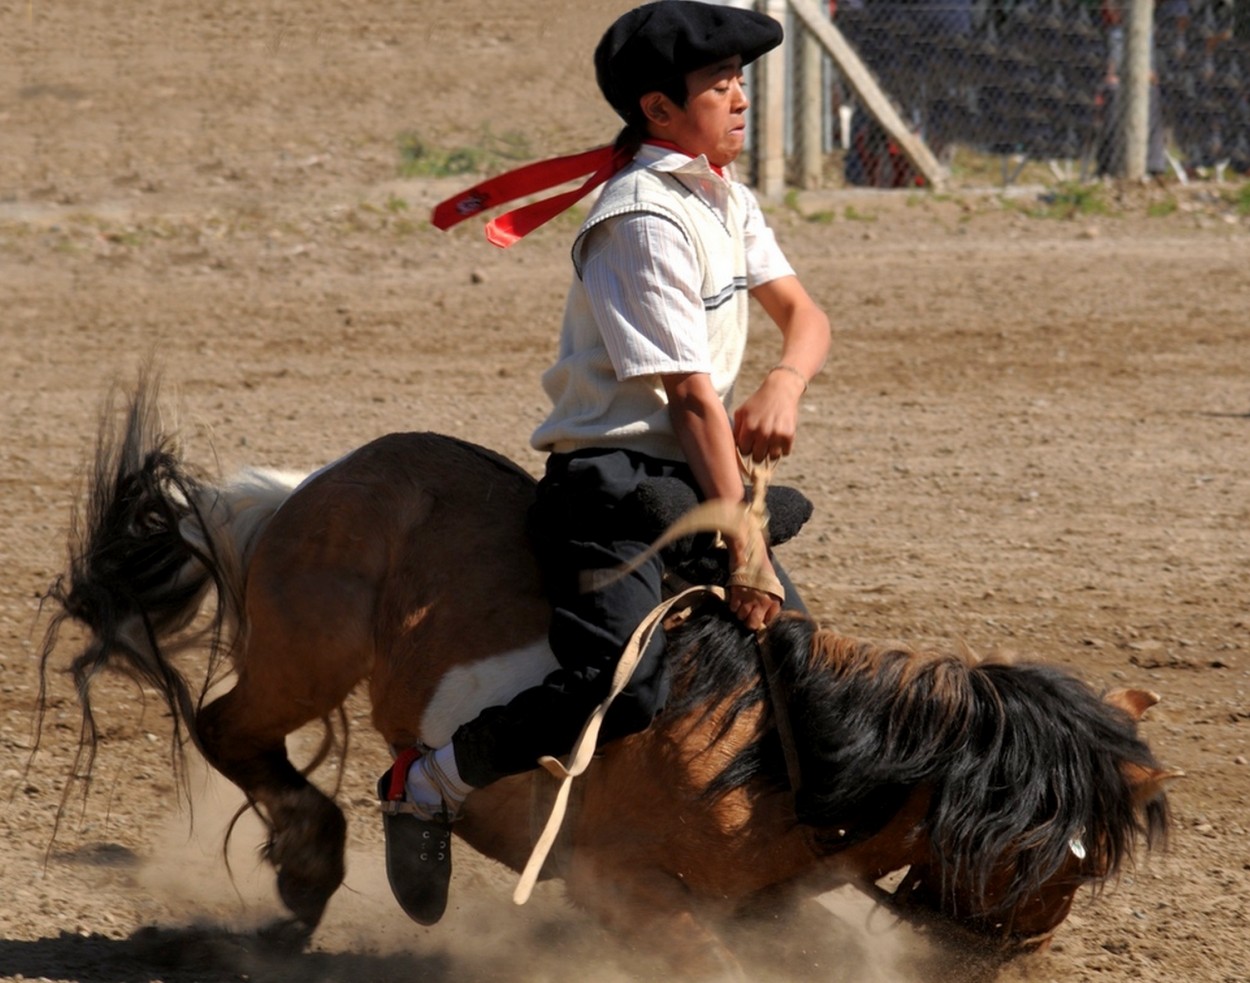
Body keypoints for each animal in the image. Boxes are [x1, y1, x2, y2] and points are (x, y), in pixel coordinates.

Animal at [39, 372, 1170, 970]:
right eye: (1037, 856)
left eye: (1084, 866)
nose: (991, 965)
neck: (783, 749)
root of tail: (309, 484)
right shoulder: (620, 882)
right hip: (303, 659)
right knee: (230, 729)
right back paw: (314, 867)